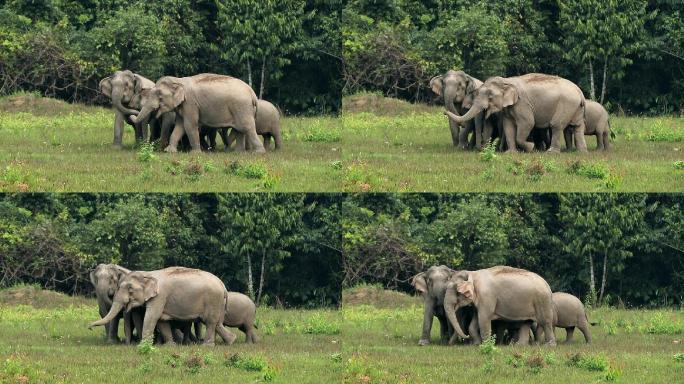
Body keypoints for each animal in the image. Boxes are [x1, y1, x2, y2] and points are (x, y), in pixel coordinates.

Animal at [88, 268, 238, 344]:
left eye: (130, 289)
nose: (89, 327)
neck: (148, 274)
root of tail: (222, 285)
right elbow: (161, 320)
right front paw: (170, 345)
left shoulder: (160, 297)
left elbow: (152, 317)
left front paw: (144, 345)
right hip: (217, 303)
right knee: (216, 323)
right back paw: (231, 341)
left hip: (213, 300)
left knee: (210, 322)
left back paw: (207, 345)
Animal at [130, 73, 264, 153]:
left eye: (160, 96)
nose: (132, 113)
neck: (179, 80)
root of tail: (252, 93)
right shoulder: (183, 106)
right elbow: (180, 126)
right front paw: (170, 151)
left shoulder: (190, 104)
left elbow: (189, 125)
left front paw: (195, 153)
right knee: (239, 130)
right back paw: (239, 153)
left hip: (242, 107)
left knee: (247, 127)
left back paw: (259, 152)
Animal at [444, 73, 588, 153]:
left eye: (490, 96)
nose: (444, 112)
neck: (507, 81)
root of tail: (580, 92)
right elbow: (508, 126)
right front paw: (511, 153)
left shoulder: (522, 104)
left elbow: (528, 123)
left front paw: (530, 147)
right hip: (576, 108)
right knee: (577, 127)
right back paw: (582, 152)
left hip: (567, 104)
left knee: (556, 125)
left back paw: (551, 152)